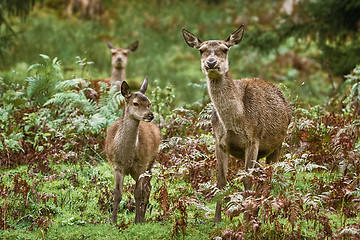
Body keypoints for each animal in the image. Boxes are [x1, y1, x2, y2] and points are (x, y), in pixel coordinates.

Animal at [104, 77, 160, 223]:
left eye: (149, 103)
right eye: (135, 103)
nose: (150, 115)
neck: (126, 156)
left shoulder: (141, 165)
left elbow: (138, 193)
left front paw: (136, 221)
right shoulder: (117, 166)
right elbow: (117, 193)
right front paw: (113, 220)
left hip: (151, 162)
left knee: (147, 188)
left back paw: (141, 218)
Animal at [183, 24, 292, 223]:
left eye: (225, 49)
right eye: (201, 50)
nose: (211, 63)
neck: (236, 122)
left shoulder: (253, 140)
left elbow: (247, 180)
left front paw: (247, 220)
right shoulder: (219, 142)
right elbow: (221, 181)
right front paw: (217, 219)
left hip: (278, 144)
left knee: (268, 178)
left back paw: (260, 215)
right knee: (261, 177)